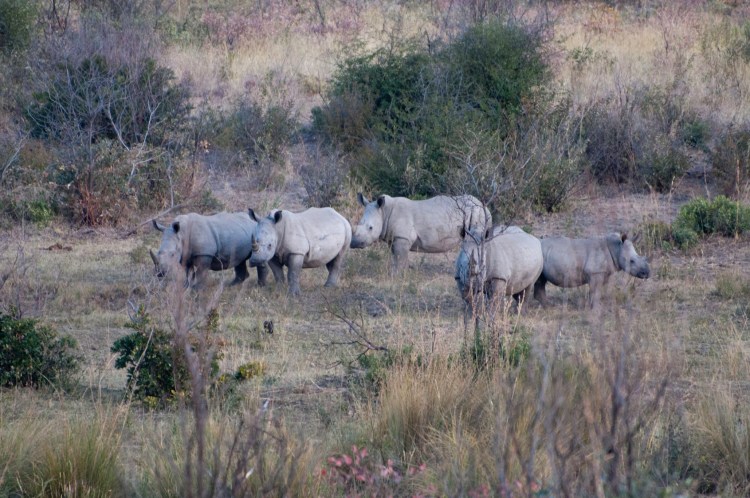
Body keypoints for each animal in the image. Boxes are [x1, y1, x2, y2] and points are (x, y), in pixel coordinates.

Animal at [351, 193, 492, 272]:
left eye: (370, 228)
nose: (354, 243)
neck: (383, 212)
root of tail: (483, 206)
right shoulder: (394, 238)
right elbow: (395, 257)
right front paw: (398, 273)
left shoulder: (402, 237)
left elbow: (400, 258)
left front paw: (397, 276)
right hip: (476, 212)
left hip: (475, 212)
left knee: (474, 240)